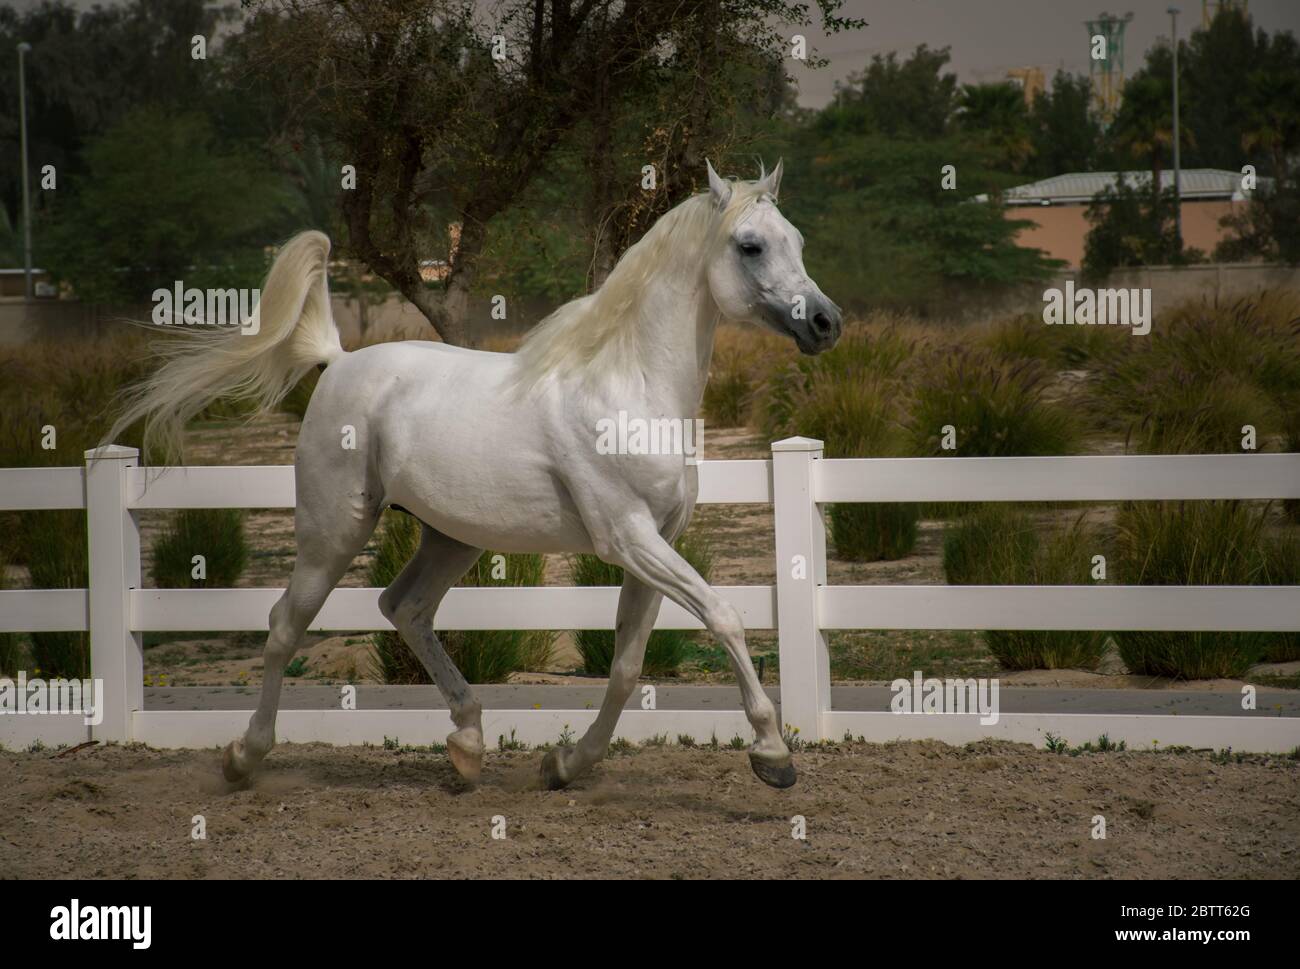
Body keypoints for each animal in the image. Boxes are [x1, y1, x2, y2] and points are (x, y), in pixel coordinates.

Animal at [109, 161, 842, 791]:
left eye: (799, 240)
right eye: (750, 245)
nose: (826, 322)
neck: (627, 385)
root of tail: (339, 361)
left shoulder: (653, 544)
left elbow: (628, 666)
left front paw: (564, 764)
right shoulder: (628, 537)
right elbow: (724, 616)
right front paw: (773, 755)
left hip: (449, 537)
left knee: (403, 608)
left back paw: (466, 744)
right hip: (333, 531)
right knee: (287, 623)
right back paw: (243, 757)